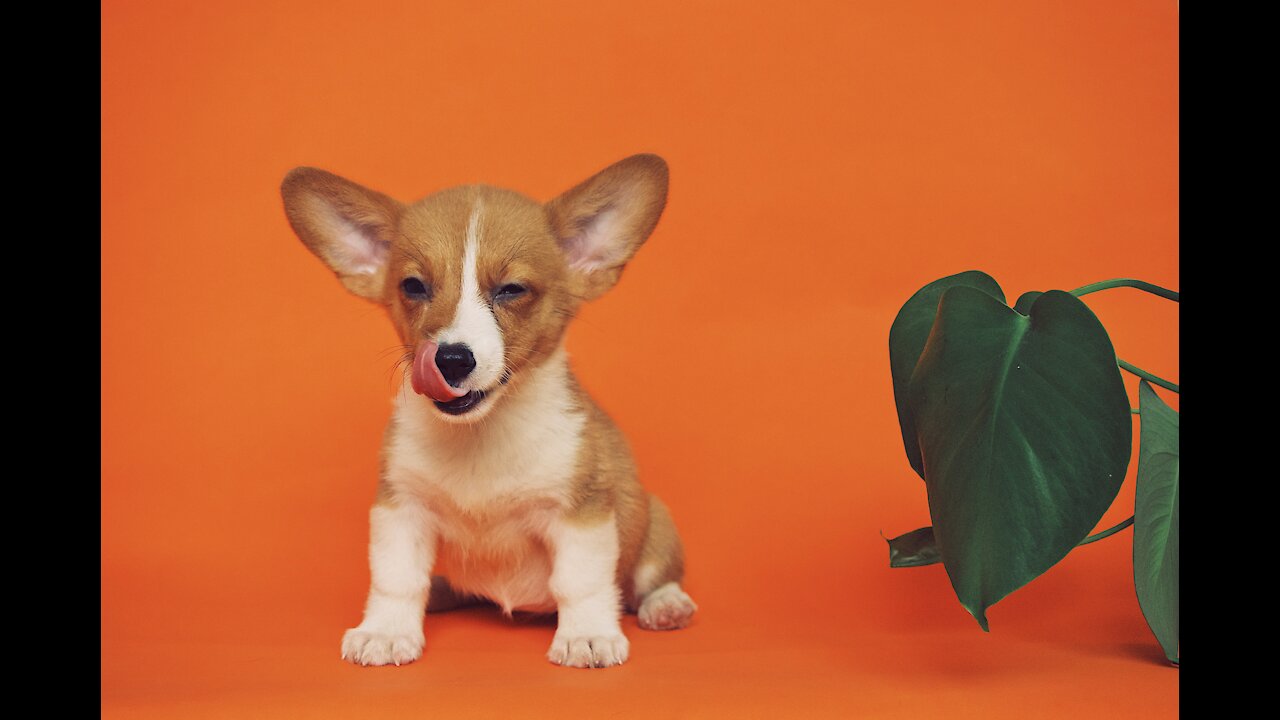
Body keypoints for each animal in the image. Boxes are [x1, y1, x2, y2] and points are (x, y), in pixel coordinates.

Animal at [282, 152, 701, 666]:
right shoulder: (401, 508)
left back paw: (666, 606)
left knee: (649, 578)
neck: (480, 434)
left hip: (654, 522)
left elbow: (580, 582)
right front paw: (386, 631)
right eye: (414, 286)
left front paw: (586, 635)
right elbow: (396, 580)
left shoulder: (581, 514)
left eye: (511, 290)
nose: (451, 359)